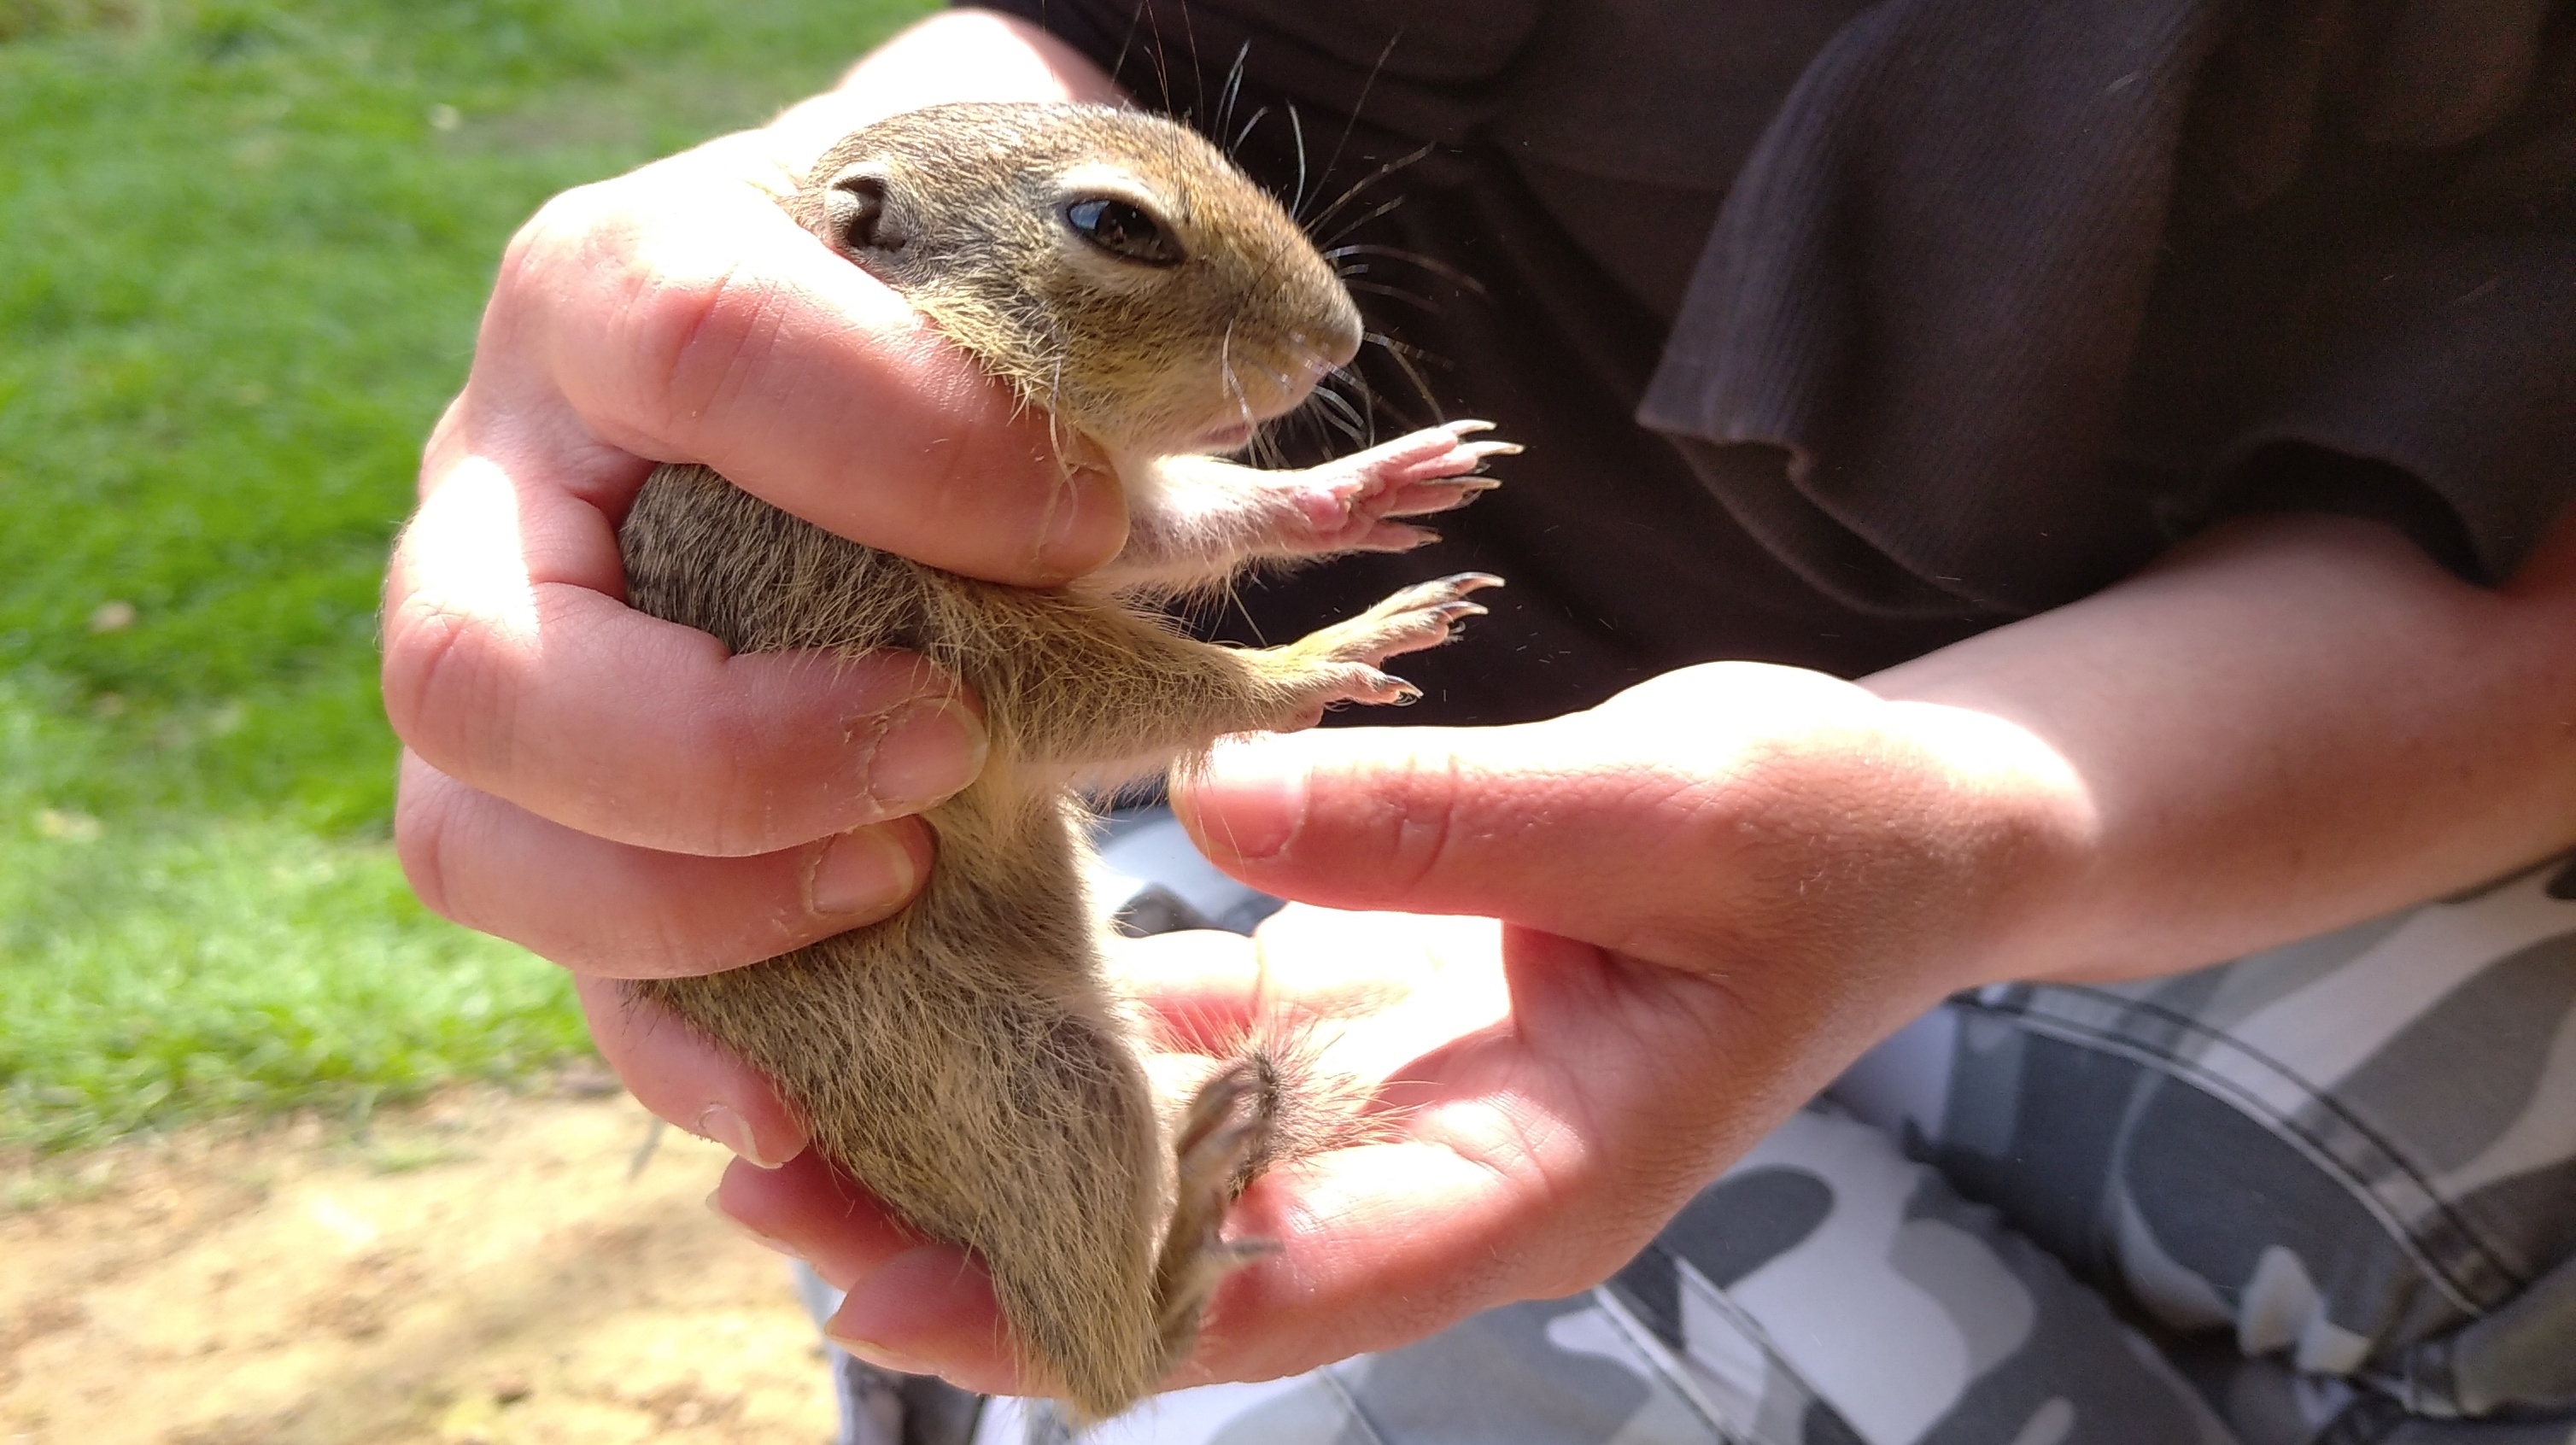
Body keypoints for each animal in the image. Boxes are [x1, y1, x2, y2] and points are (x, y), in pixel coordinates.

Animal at [618, 104, 1504, 1421]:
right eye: (1114, 225)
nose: (1338, 341)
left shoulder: (1088, 514)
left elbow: (1180, 525)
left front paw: (1347, 489)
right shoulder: (905, 621)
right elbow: (1105, 691)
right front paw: (1309, 662)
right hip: (1038, 1079)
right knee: (1102, 1373)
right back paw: (1187, 1232)